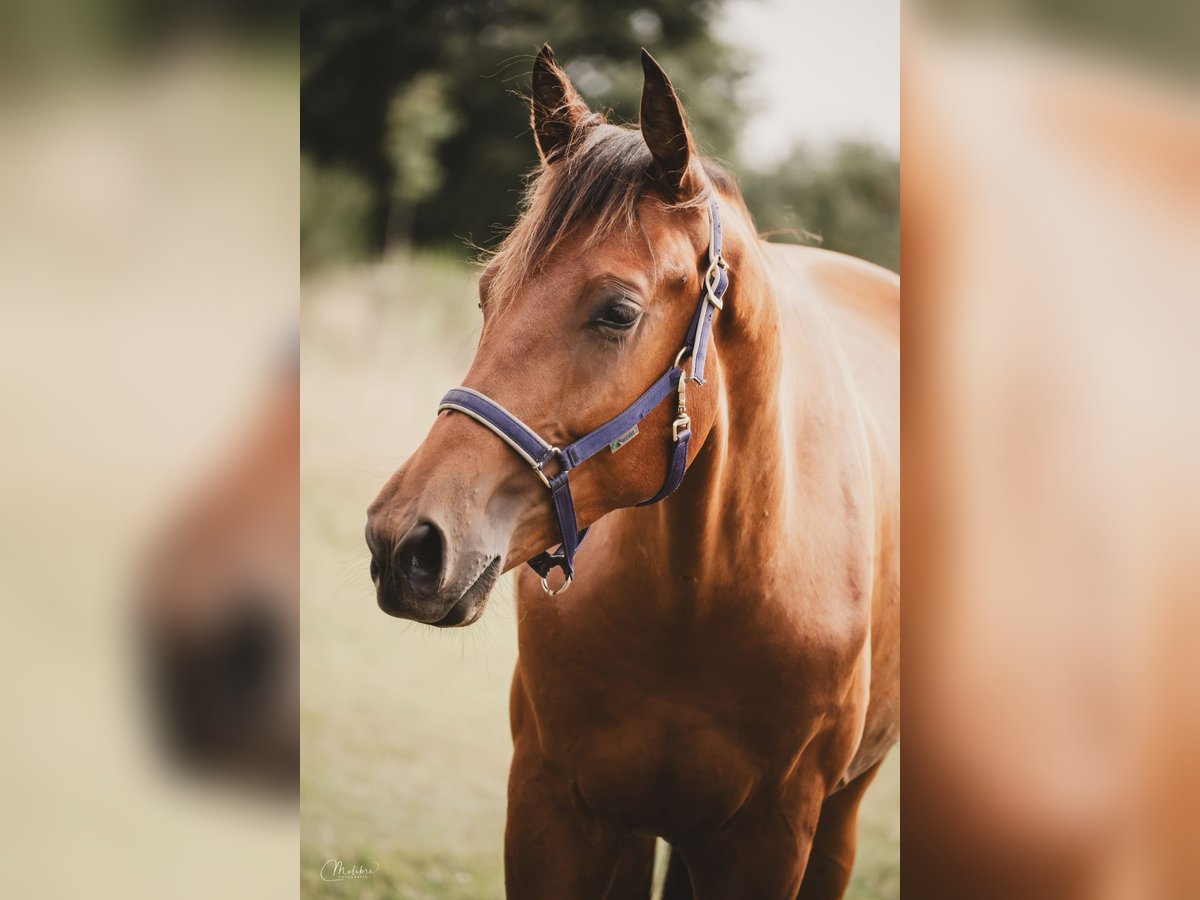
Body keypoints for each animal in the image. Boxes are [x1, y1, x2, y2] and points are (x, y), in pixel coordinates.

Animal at [367, 45, 902, 897]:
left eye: (617, 311)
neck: (700, 588)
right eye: (487, 294)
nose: (404, 543)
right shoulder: (554, 809)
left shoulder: (772, 836)